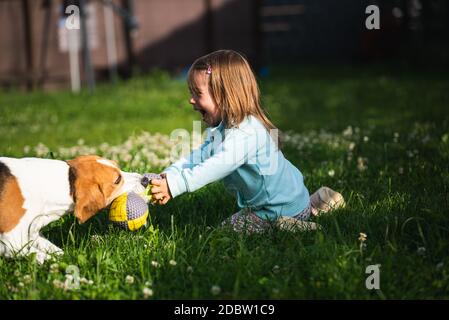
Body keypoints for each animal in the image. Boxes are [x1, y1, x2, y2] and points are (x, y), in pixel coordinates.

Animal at [0, 154, 145, 262]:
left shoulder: (33, 234)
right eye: (117, 180)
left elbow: (58, 253)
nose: (144, 179)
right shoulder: (12, 243)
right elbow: (42, 256)